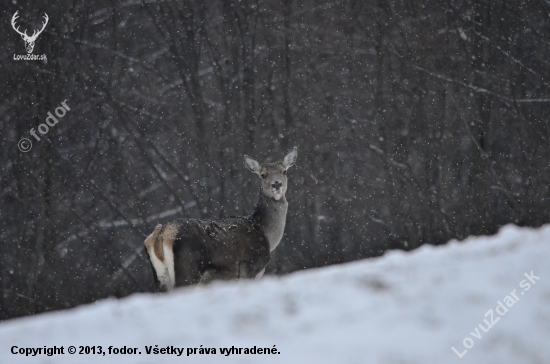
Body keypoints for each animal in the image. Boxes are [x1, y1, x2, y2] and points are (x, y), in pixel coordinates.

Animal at [146, 146, 298, 292]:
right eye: (263, 175)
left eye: (284, 171)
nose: (276, 184)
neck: (265, 233)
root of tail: (160, 235)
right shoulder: (249, 266)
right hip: (188, 269)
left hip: (161, 277)